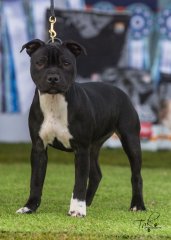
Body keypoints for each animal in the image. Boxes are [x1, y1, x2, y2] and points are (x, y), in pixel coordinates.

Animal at [16, 38, 145, 217]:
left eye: (66, 63)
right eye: (40, 62)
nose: (53, 77)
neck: (54, 103)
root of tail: (120, 91)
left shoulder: (81, 149)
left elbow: (79, 181)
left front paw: (77, 209)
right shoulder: (38, 148)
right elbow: (35, 181)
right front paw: (30, 207)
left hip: (130, 140)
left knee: (136, 175)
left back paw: (137, 205)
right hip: (93, 147)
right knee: (96, 174)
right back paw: (87, 202)